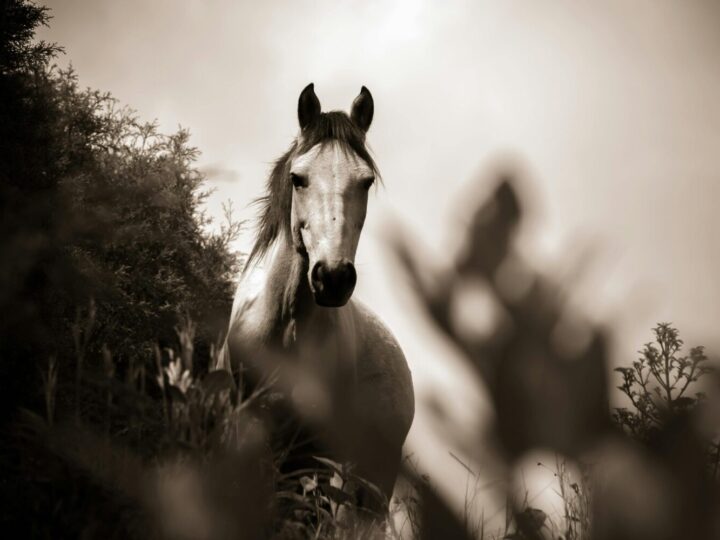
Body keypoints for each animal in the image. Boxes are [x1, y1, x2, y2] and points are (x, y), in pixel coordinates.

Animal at [219, 83, 414, 518]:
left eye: (366, 182)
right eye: (298, 178)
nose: (333, 278)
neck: (285, 327)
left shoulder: (311, 453)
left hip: (370, 480)